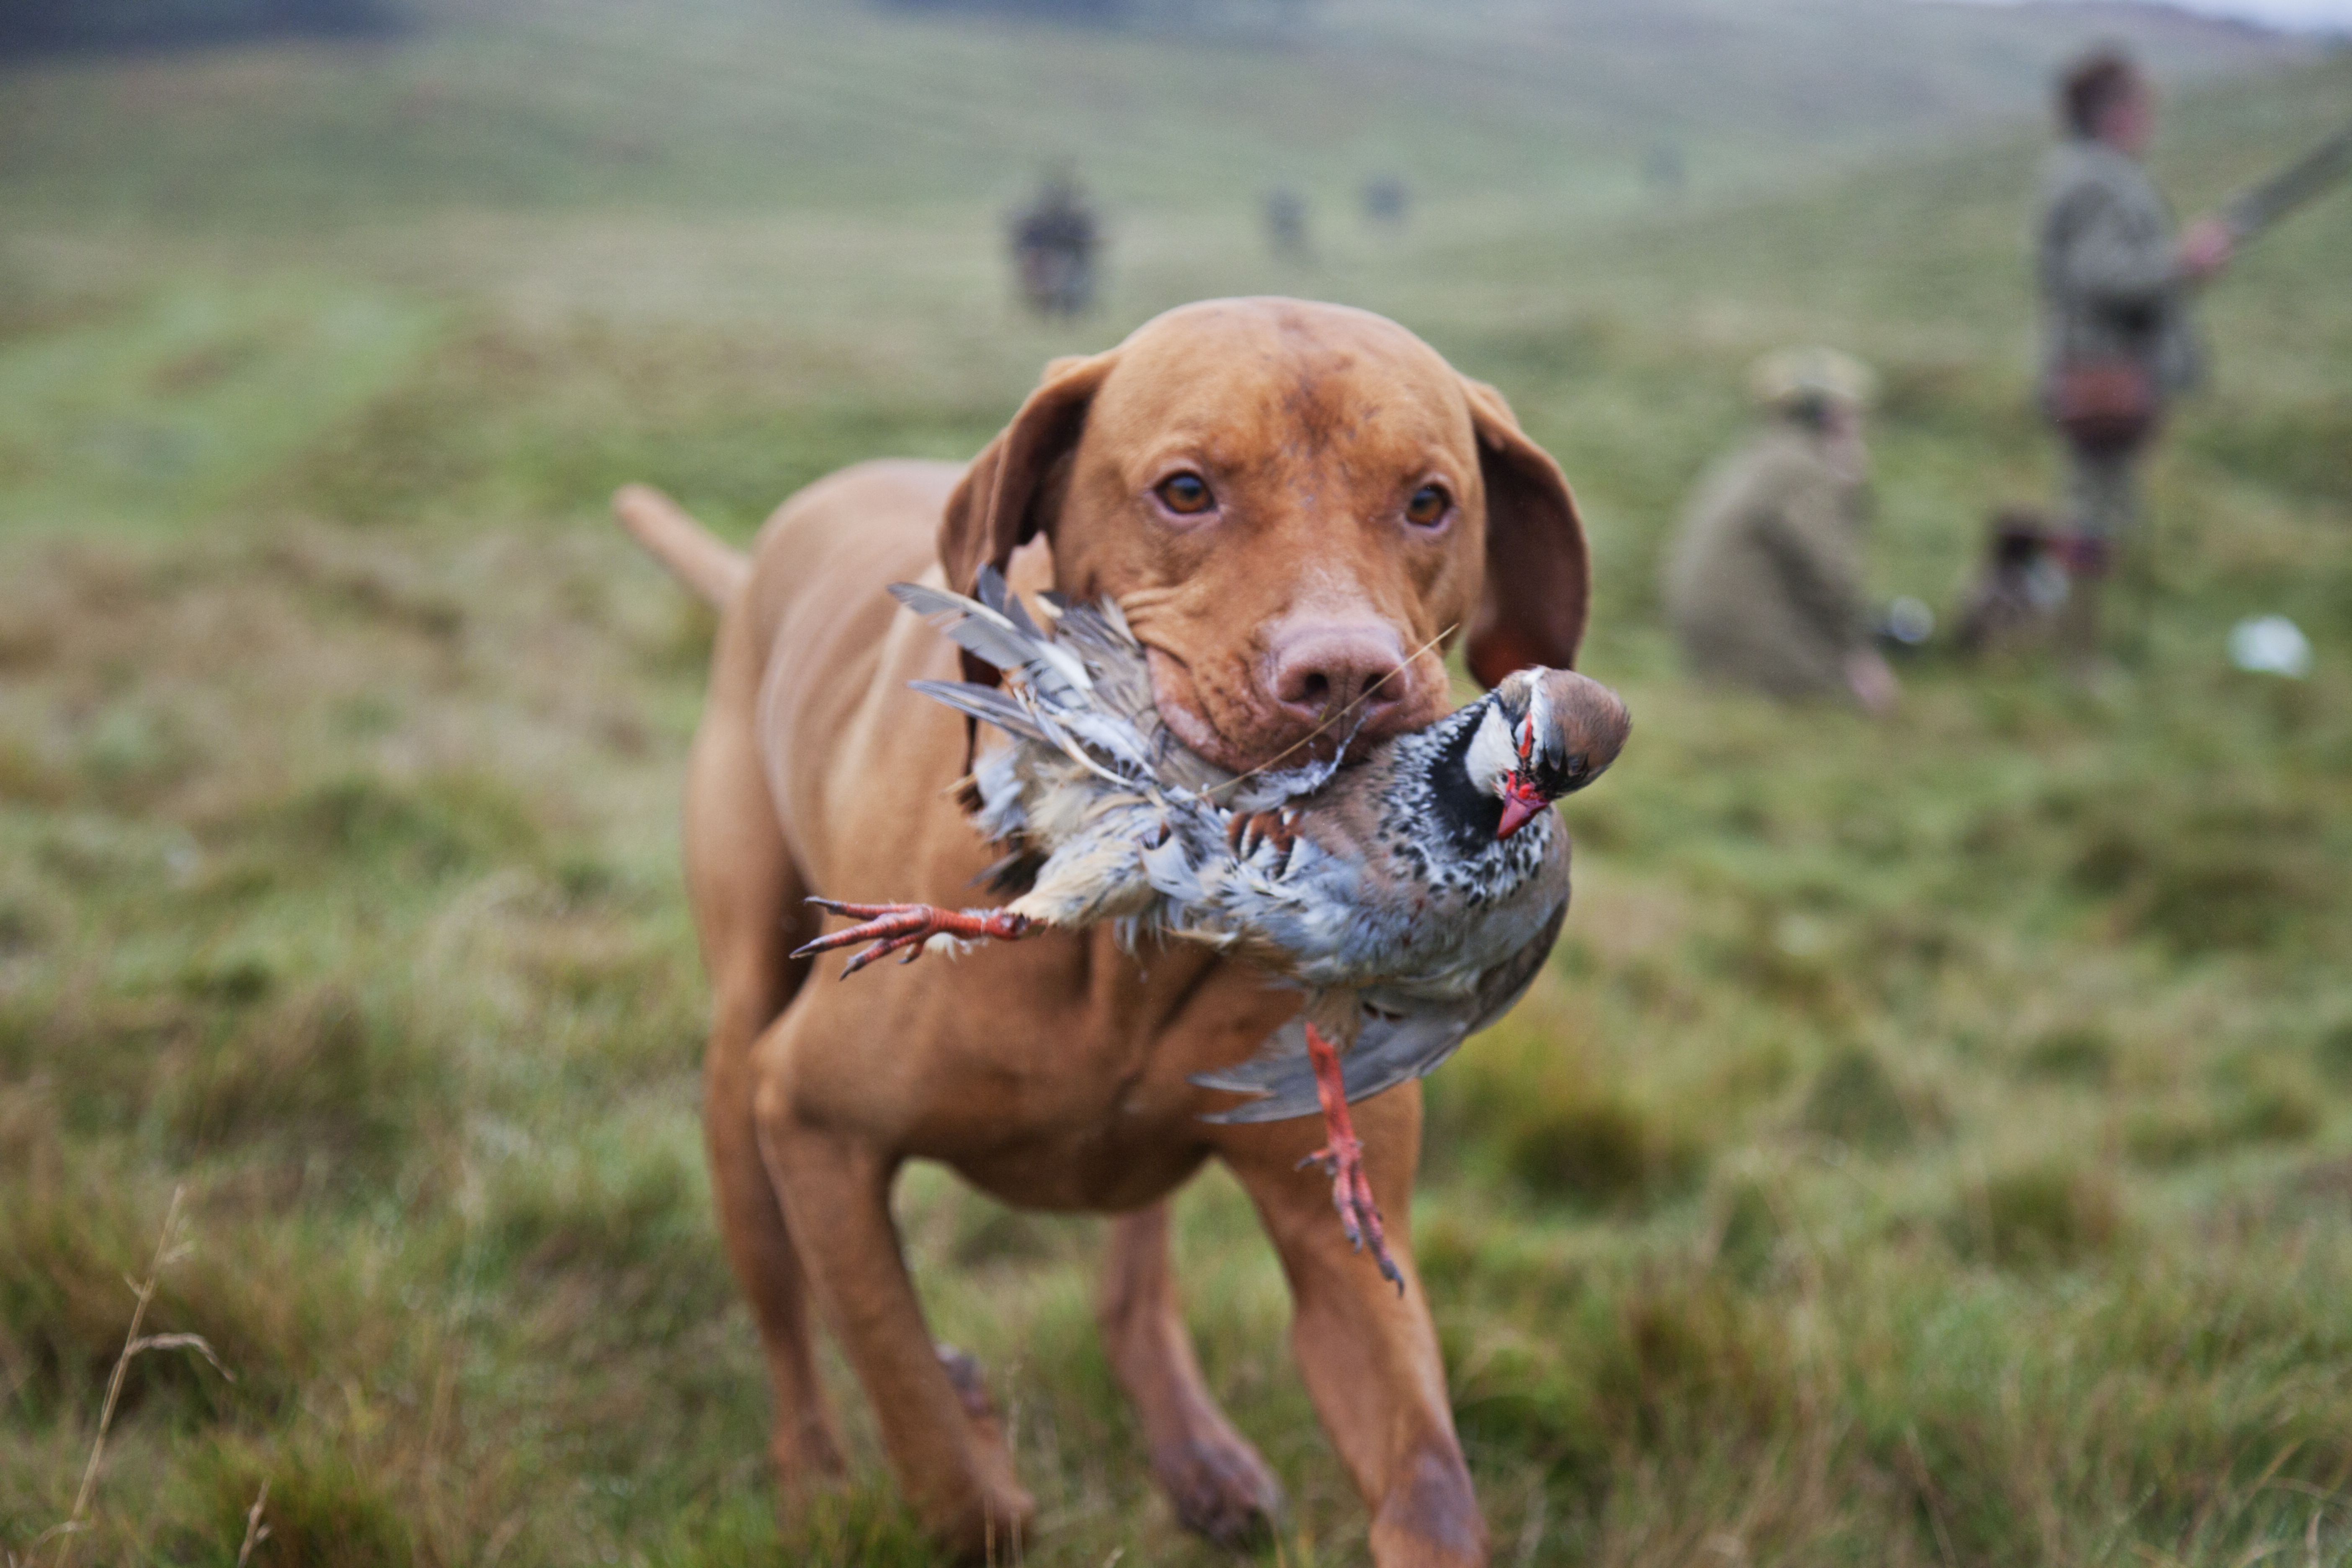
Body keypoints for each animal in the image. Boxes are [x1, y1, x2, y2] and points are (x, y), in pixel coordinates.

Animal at [616, 297, 1590, 1568]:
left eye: (1431, 501)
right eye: (1184, 490)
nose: (1346, 679)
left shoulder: (1342, 1261)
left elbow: (1426, 1480)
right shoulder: (815, 1125)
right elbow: (933, 1443)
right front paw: (966, 1444)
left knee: (1132, 1282)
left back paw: (1192, 1447)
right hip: (742, 1065)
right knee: (786, 1316)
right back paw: (816, 1479)